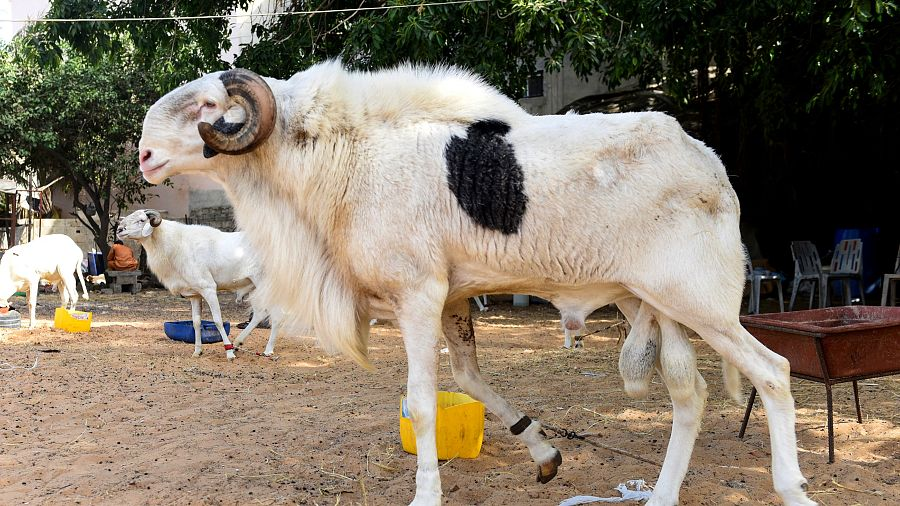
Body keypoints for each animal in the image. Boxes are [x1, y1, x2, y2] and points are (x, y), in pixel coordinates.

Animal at [115, 210, 279, 359]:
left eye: (142, 220)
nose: (119, 230)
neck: (176, 244)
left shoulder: (208, 288)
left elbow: (218, 321)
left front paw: (229, 353)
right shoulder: (195, 294)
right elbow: (196, 323)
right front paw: (197, 351)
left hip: (267, 284)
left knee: (276, 314)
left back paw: (268, 350)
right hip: (255, 287)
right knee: (260, 313)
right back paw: (238, 343)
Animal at [136, 62, 814, 506]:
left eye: (206, 108)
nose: (142, 155)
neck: (343, 154)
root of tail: (711, 164)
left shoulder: (418, 297)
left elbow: (423, 402)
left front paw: (426, 496)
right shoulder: (454, 299)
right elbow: (469, 380)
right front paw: (544, 454)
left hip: (703, 304)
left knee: (773, 372)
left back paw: (791, 486)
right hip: (656, 306)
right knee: (689, 395)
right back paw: (663, 495)